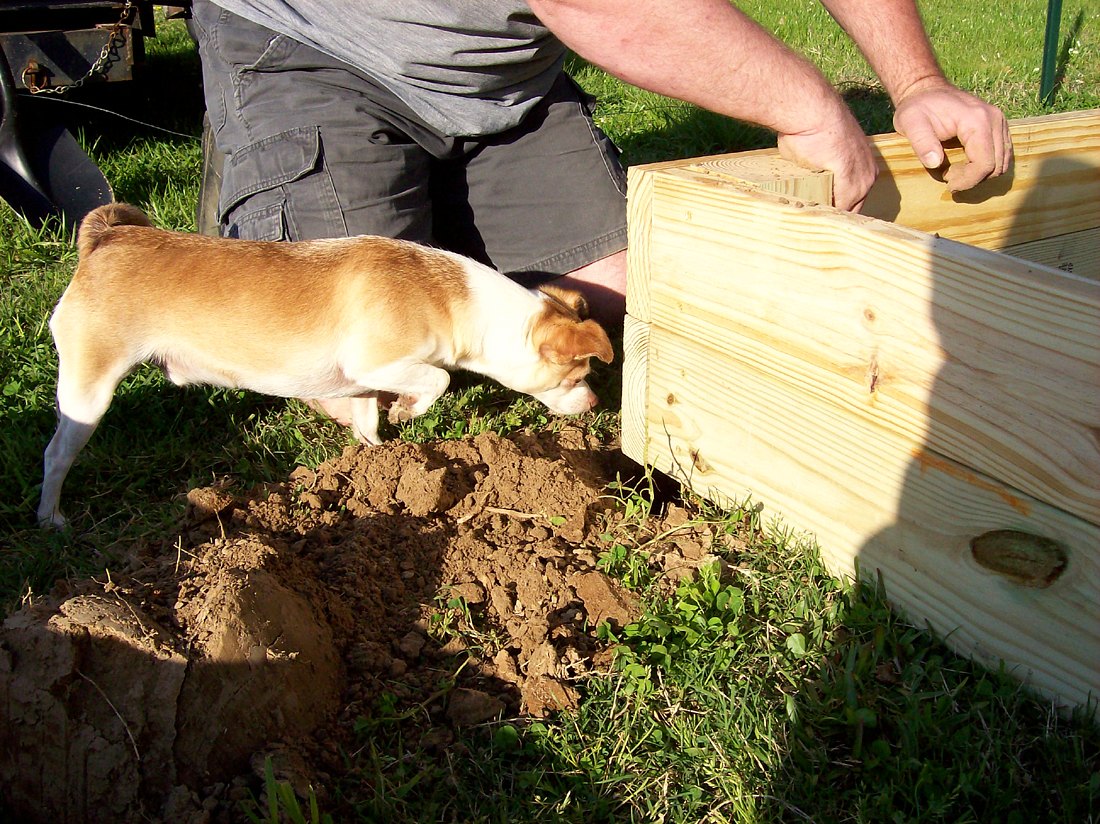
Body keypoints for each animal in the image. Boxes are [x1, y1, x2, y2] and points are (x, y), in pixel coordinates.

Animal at [36, 205, 611, 528]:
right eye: (578, 377)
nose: (595, 402)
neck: (455, 297)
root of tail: (108, 239)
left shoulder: (361, 384)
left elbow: (369, 424)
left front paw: (379, 468)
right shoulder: (377, 361)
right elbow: (438, 377)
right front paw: (408, 411)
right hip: (89, 390)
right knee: (55, 454)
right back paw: (52, 519)